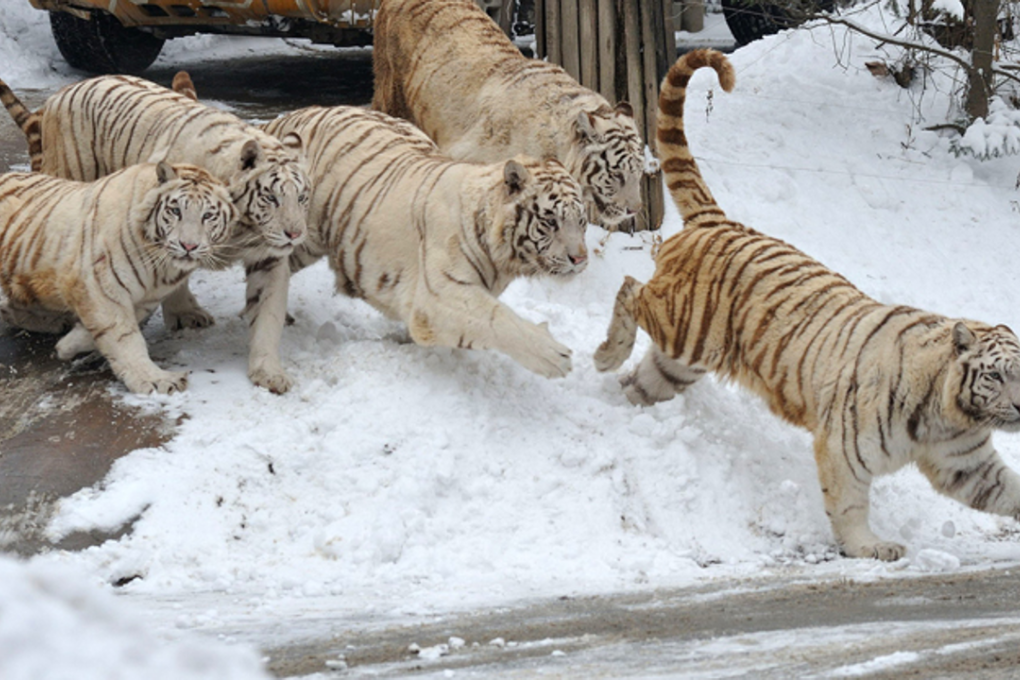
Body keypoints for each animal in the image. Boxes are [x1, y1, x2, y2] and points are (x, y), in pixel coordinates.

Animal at [0, 161, 235, 395]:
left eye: (207, 216)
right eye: (176, 211)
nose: (188, 246)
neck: (162, 268)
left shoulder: (147, 297)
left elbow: (119, 327)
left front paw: (68, 344)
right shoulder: (99, 284)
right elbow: (124, 337)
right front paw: (155, 380)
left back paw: (58, 322)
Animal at [259, 105, 587, 377]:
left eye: (582, 221)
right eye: (551, 222)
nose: (580, 259)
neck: (502, 260)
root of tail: (284, 119)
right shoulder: (439, 295)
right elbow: (498, 318)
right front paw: (553, 355)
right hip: (298, 237)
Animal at [594, 49, 1020, 562]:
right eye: (995, 376)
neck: (949, 414)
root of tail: (719, 221)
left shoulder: (966, 462)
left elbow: (1007, 490)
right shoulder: (846, 447)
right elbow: (850, 504)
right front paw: (870, 547)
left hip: (682, 360)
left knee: (645, 379)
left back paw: (623, 402)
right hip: (683, 326)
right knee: (629, 287)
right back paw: (606, 355)